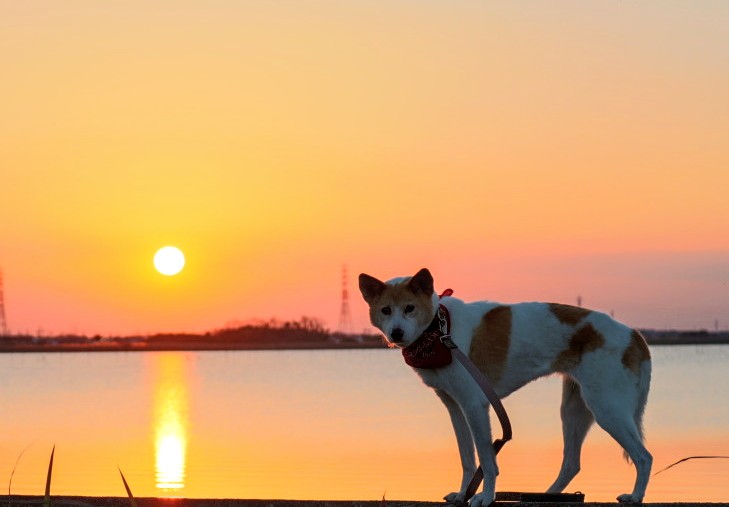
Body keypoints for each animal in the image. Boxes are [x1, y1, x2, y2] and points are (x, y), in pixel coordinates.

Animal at [358, 268, 648, 506]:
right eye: (385, 310)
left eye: (409, 308)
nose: (396, 333)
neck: (437, 332)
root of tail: (634, 333)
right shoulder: (456, 408)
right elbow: (467, 458)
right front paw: (463, 494)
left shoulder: (475, 406)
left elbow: (486, 459)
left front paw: (485, 497)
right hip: (574, 410)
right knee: (571, 464)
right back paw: (548, 496)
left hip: (606, 408)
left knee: (644, 457)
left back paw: (635, 496)